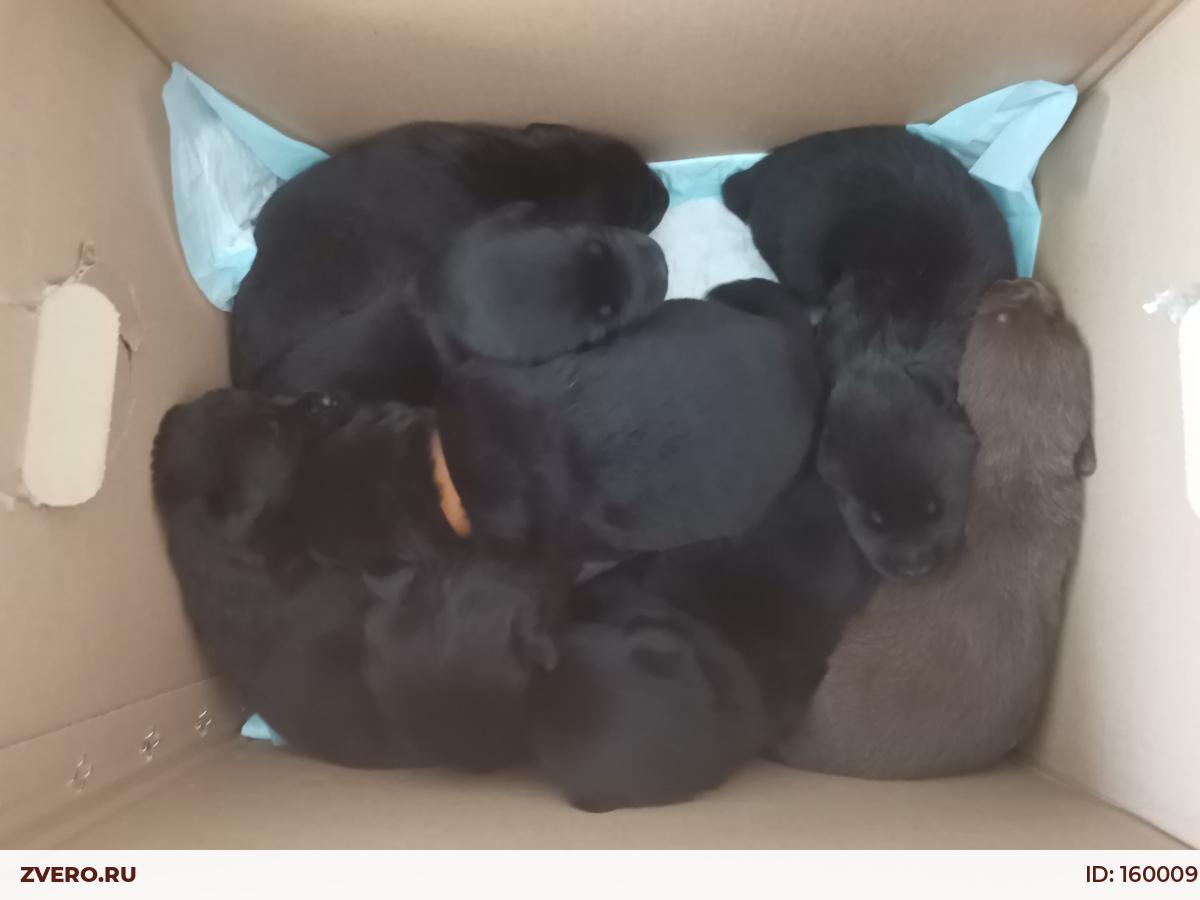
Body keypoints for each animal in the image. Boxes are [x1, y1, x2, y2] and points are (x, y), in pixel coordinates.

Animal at [723, 126, 1016, 578]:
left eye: (935, 508)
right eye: (874, 519)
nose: (915, 568)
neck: (885, 351)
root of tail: (765, 167)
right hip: (800, 260)